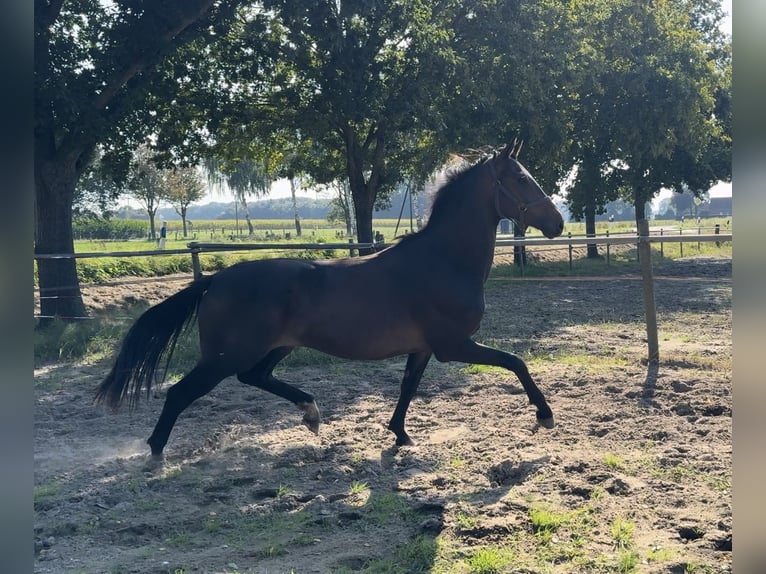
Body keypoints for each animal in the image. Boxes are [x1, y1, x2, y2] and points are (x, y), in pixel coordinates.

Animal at [96, 142, 564, 462]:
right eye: (521, 178)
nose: (558, 223)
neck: (444, 260)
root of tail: (215, 280)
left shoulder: (424, 348)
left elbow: (408, 388)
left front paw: (399, 435)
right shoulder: (454, 346)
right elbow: (517, 362)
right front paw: (544, 415)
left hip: (275, 347)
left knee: (254, 377)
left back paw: (311, 413)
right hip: (225, 357)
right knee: (181, 393)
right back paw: (156, 454)